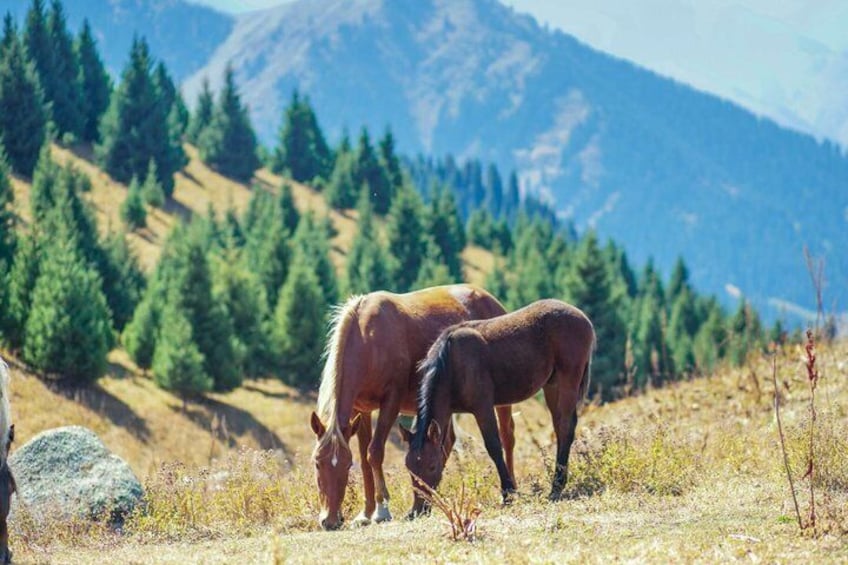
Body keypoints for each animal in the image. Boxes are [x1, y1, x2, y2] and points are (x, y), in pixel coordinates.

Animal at [309, 284, 515, 531]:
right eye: (317, 463)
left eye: (347, 465)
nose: (330, 520)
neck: (368, 338)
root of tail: (491, 300)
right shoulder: (361, 410)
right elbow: (365, 459)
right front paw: (366, 513)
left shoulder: (391, 401)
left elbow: (374, 452)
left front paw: (382, 510)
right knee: (447, 442)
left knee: (507, 435)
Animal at [401, 298, 595, 503]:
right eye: (409, 468)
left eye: (431, 466)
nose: (419, 507)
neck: (450, 363)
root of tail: (582, 317)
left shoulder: (483, 407)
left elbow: (493, 445)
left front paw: (508, 492)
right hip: (552, 384)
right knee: (559, 427)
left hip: (568, 379)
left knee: (566, 426)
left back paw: (556, 486)